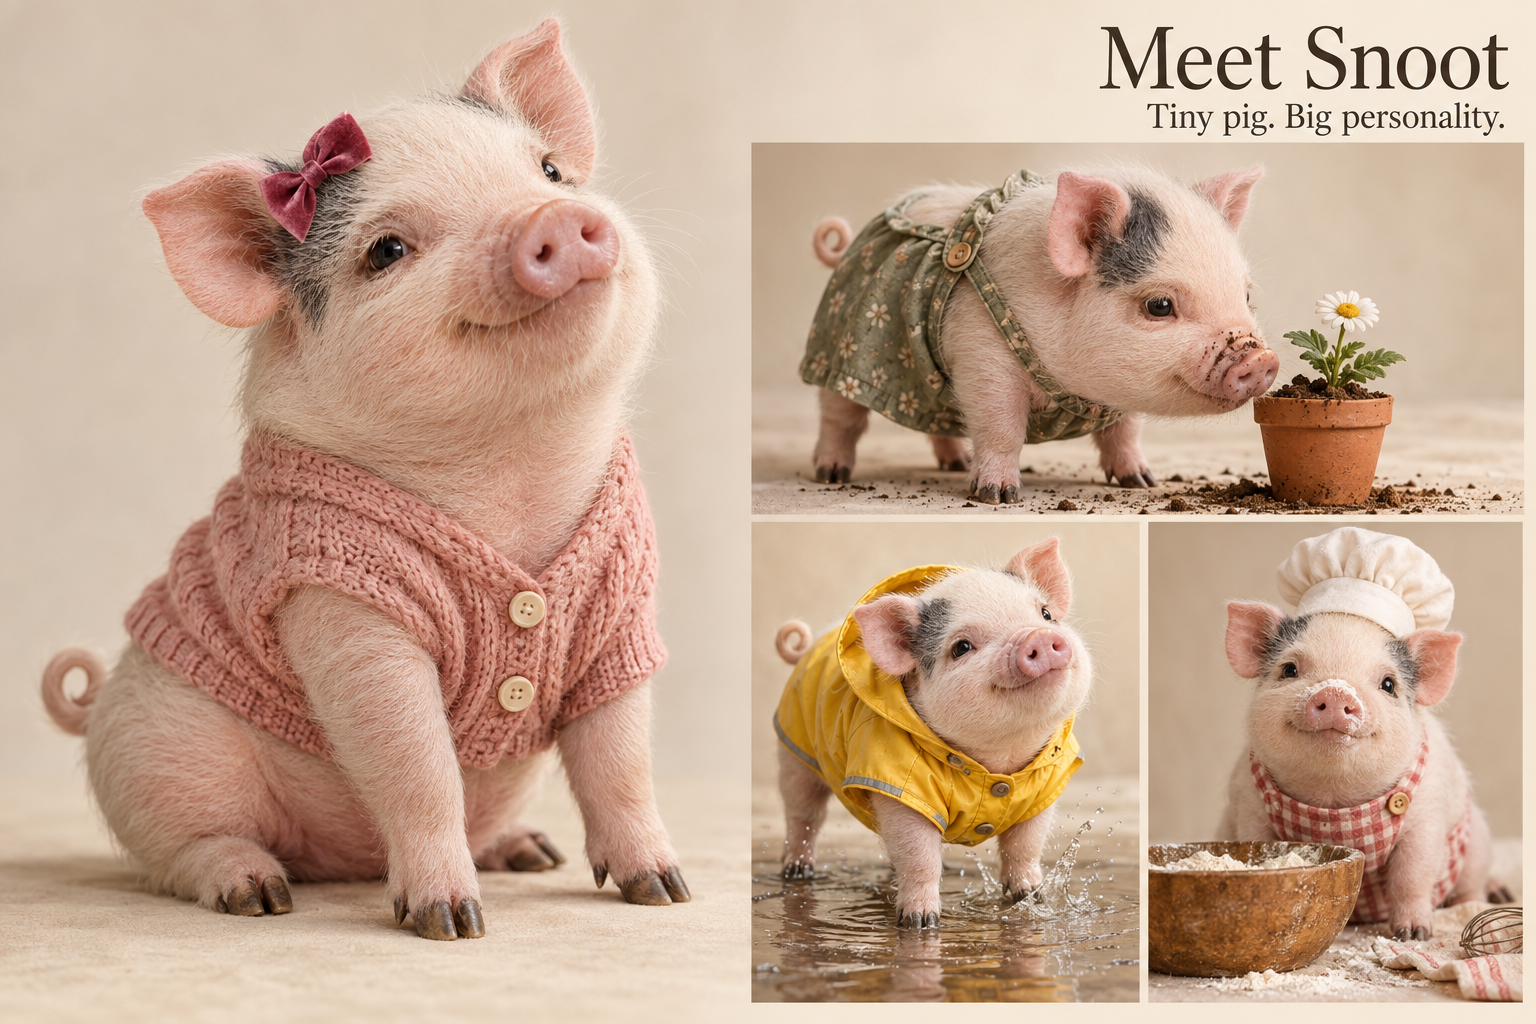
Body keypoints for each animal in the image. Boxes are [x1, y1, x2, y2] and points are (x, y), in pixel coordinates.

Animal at [37, 20, 689, 941]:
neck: (509, 473)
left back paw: (531, 852)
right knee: (185, 851)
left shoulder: (618, 611)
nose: (555, 216)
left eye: (550, 170)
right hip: (153, 757)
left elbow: (621, 758)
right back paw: (256, 892)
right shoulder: (340, 600)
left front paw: (665, 891)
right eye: (386, 251)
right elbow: (416, 762)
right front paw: (451, 924)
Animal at [772, 539, 1092, 927]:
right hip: (794, 754)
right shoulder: (899, 787)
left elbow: (1025, 846)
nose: (1040, 637)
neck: (997, 762)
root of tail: (809, 645)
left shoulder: (1041, 788)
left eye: (1045, 614)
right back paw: (796, 872)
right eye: (961, 647)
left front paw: (1031, 898)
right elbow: (919, 855)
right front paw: (920, 922)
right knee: (803, 815)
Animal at [802, 165, 1278, 502]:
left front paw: (1143, 482)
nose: (1261, 360)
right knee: (839, 415)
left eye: (1246, 294)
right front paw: (997, 496)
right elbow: (1001, 427)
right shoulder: (982, 357)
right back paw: (830, 475)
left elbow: (1124, 432)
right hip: (841, 338)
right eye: (1159, 306)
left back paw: (954, 464)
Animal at [1219, 604, 1511, 939]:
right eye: (1289, 669)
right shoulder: (1250, 808)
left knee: (1471, 886)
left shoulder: (1427, 817)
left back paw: (1489, 899)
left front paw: (1412, 935)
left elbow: (1412, 873)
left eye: (1389, 684)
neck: (1333, 800)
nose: (1336, 691)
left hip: (1476, 841)